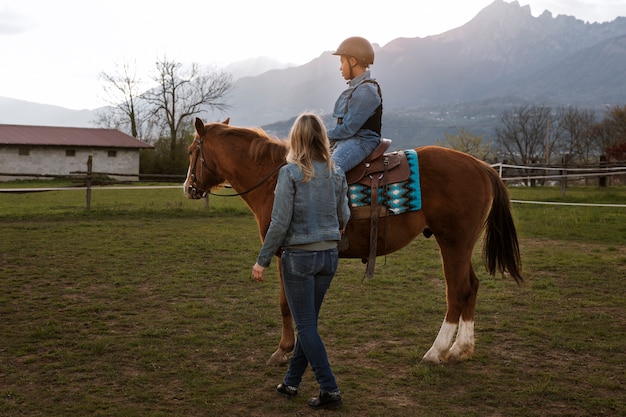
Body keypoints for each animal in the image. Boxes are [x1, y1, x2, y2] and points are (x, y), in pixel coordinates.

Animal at [183, 116, 520, 364]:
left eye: (191, 151)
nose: (188, 187)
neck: (275, 178)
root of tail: (481, 166)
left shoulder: (284, 253)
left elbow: (285, 304)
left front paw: (283, 349)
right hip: (461, 246)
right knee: (471, 287)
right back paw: (461, 349)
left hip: (453, 243)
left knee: (457, 292)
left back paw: (436, 351)